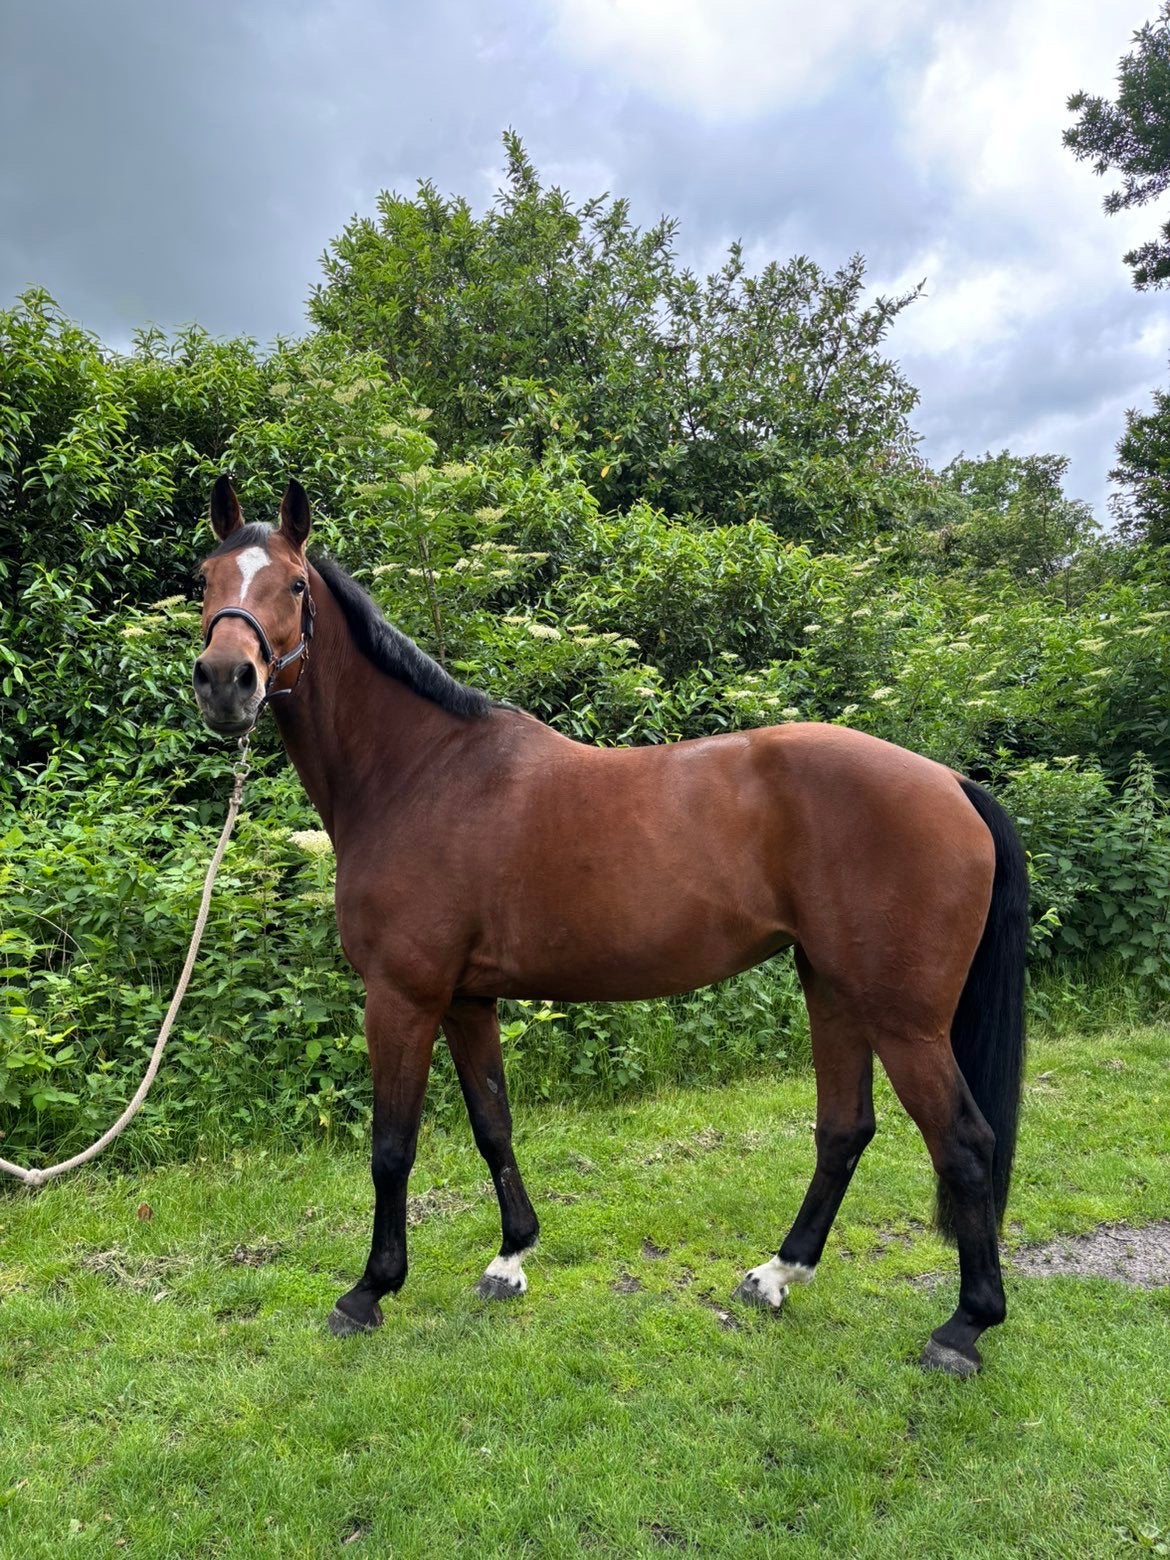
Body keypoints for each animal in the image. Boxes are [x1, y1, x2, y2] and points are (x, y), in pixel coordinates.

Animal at [193, 476, 1027, 1377]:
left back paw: (964, 1325)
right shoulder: (466, 1001)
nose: (226, 680)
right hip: (832, 986)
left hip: (904, 1019)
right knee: (845, 1129)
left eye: (294, 586)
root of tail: (951, 783)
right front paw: (510, 1258)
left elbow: (391, 1146)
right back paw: (776, 1275)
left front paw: (369, 1291)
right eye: (206, 577)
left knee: (965, 1144)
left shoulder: (402, 997)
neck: (418, 774)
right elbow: (492, 1124)